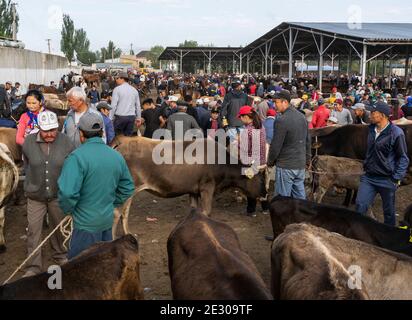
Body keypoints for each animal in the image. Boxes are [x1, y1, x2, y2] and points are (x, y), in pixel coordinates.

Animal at [113, 137, 268, 238]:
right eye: (260, 180)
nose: (266, 195)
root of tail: (123, 141)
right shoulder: (207, 187)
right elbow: (207, 212)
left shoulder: (193, 190)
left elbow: (194, 210)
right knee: (117, 212)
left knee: (124, 212)